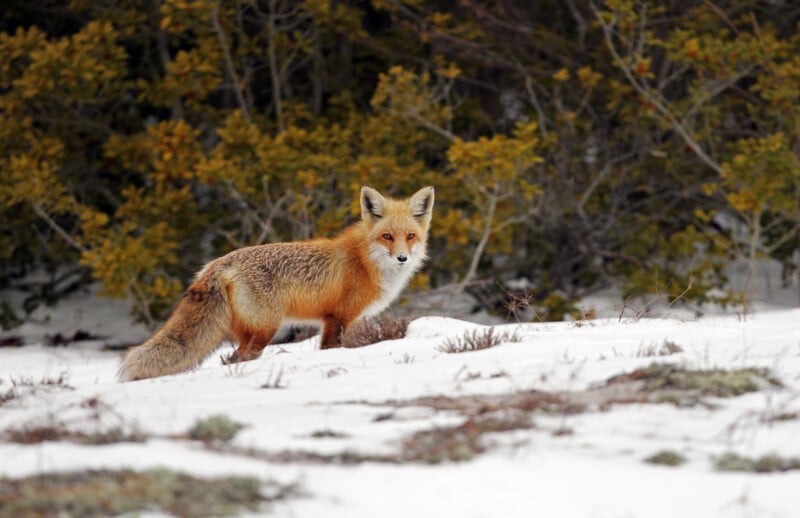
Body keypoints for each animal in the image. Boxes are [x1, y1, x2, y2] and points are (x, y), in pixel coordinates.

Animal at [118, 185, 434, 381]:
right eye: (387, 237)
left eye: (410, 236)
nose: (402, 258)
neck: (366, 262)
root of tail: (217, 264)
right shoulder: (338, 317)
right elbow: (331, 349)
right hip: (266, 329)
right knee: (239, 359)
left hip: (250, 331)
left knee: (229, 359)